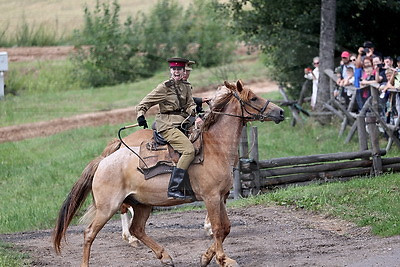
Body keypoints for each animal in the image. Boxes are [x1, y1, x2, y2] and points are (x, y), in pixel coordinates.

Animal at [52, 80, 284, 267]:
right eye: (253, 97)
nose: (280, 112)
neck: (215, 147)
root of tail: (103, 161)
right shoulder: (211, 197)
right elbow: (218, 228)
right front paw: (223, 259)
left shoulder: (220, 197)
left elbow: (226, 227)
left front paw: (205, 257)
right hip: (107, 207)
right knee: (90, 233)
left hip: (142, 204)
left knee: (138, 229)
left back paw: (165, 256)